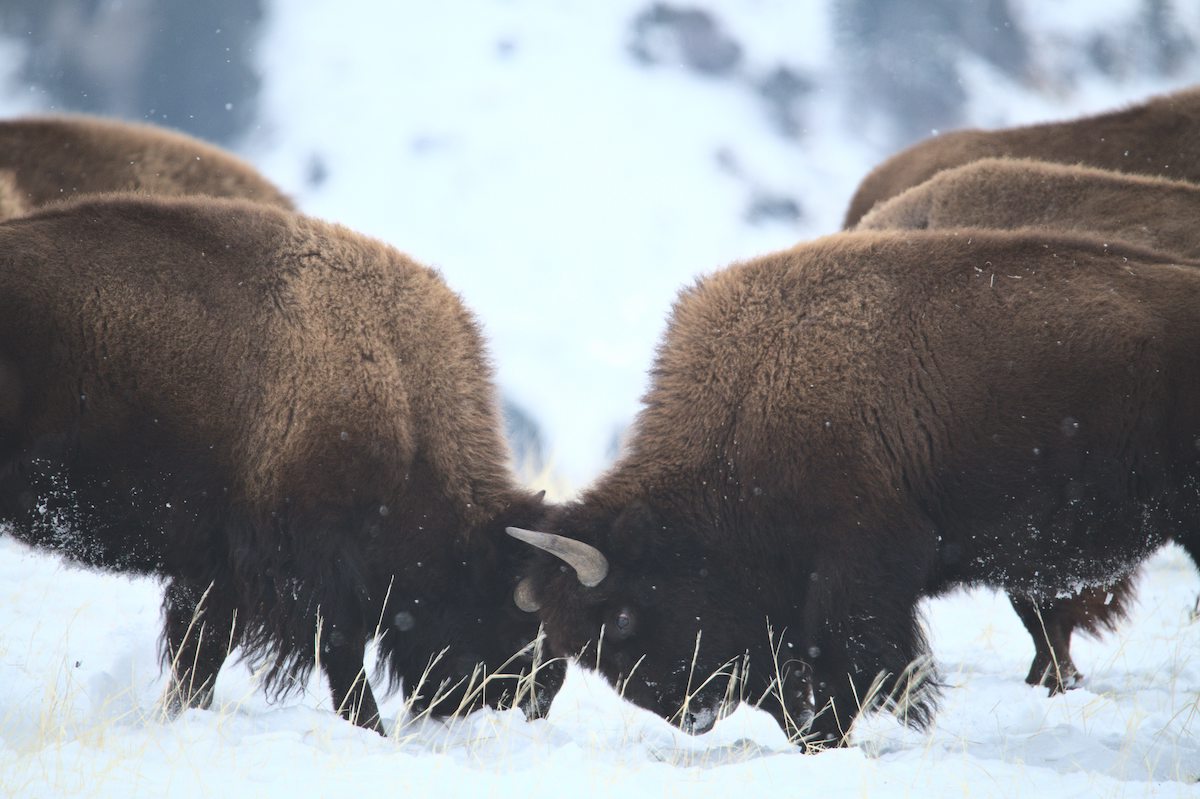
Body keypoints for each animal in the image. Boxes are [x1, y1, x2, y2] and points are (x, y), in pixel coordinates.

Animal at [0, 193, 561, 729]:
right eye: (520, 626)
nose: (536, 701)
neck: (401, 394)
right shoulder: (310, 563)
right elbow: (339, 653)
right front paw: (372, 728)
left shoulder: (218, 568)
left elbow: (200, 655)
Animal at [511, 229, 1200, 748]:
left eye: (624, 617)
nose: (693, 718)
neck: (748, 404)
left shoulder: (858, 573)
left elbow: (852, 669)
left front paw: (828, 741)